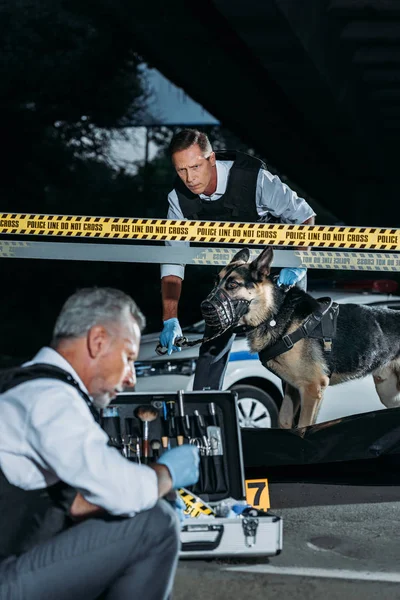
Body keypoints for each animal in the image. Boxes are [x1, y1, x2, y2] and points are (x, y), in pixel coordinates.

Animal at [202, 246, 400, 428]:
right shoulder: (293, 389)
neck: (274, 314)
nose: (204, 307)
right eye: (216, 281)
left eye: (233, 285)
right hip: (388, 392)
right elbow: (284, 421)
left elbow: (304, 425)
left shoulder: (312, 388)